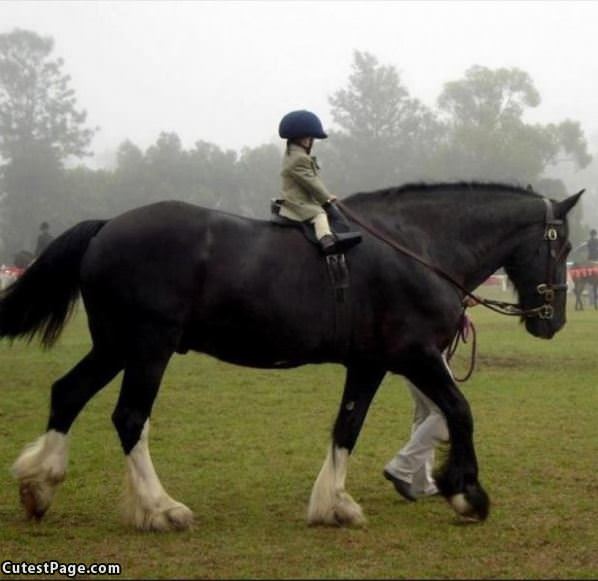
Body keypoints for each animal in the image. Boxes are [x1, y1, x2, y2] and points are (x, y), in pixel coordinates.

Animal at [0, 181, 580, 532]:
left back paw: (39, 487)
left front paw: (334, 504)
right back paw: (161, 509)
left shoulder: (370, 363)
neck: (416, 248)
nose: (552, 321)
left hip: (116, 347)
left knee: (68, 393)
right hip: (147, 348)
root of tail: (107, 226)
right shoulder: (415, 356)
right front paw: (468, 493)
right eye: (566, 247)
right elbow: (460, 411)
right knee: (129, 418)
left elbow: (347, 427)